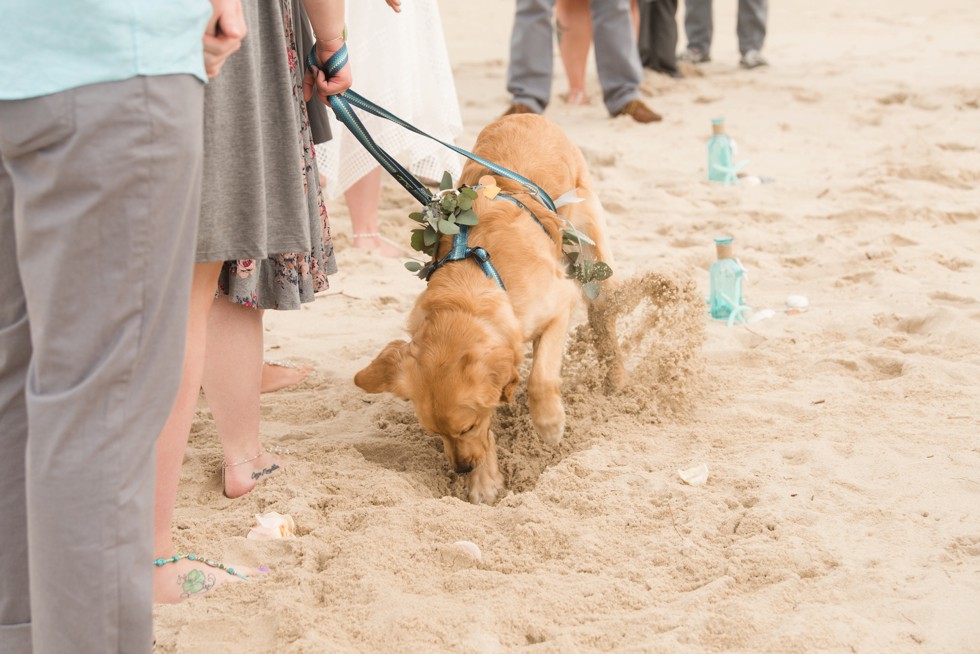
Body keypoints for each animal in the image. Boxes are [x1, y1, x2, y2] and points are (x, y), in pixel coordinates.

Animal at [356, 114, 624, 502]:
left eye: (466, 426)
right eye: (433, 432)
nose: (461, 469)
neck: (475, 280)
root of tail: (525, 115)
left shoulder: (560, 303)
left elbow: (541, 377)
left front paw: (550, 424)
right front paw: (484, 482)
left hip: (591, 251)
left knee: (603, 316)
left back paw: (617, 376)